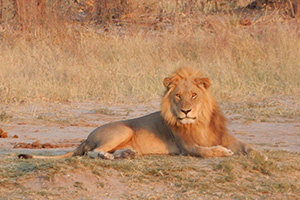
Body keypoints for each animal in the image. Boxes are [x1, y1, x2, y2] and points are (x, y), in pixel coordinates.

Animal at [18, 68, 264, 160]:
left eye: (193, 95)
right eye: (178, 96)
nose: (185, 111)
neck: (199, 121)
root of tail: (86, 137)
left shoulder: (224, 135)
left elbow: (245, 144)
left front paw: (260, 155)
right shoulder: (186, 146)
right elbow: (204, 151)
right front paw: (221, 152)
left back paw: (126, 154)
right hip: (121, 130)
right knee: (92, 152)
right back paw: (109, 156)